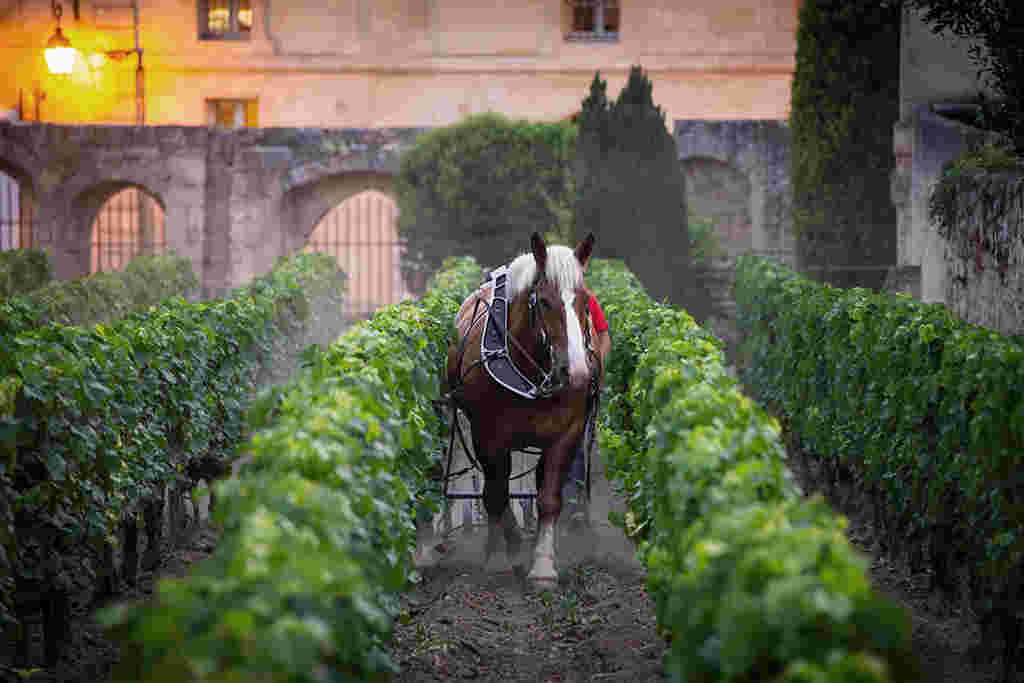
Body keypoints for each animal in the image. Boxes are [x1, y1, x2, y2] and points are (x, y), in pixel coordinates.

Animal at [444, 229, 598, 589]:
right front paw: (503, 555)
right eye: (544, 302)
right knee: (495, 490)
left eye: (584, 302)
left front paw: (542, 567)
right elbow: (495, 495)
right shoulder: (488, 436)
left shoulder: (566, 435)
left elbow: (548, 497)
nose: (576, 373)